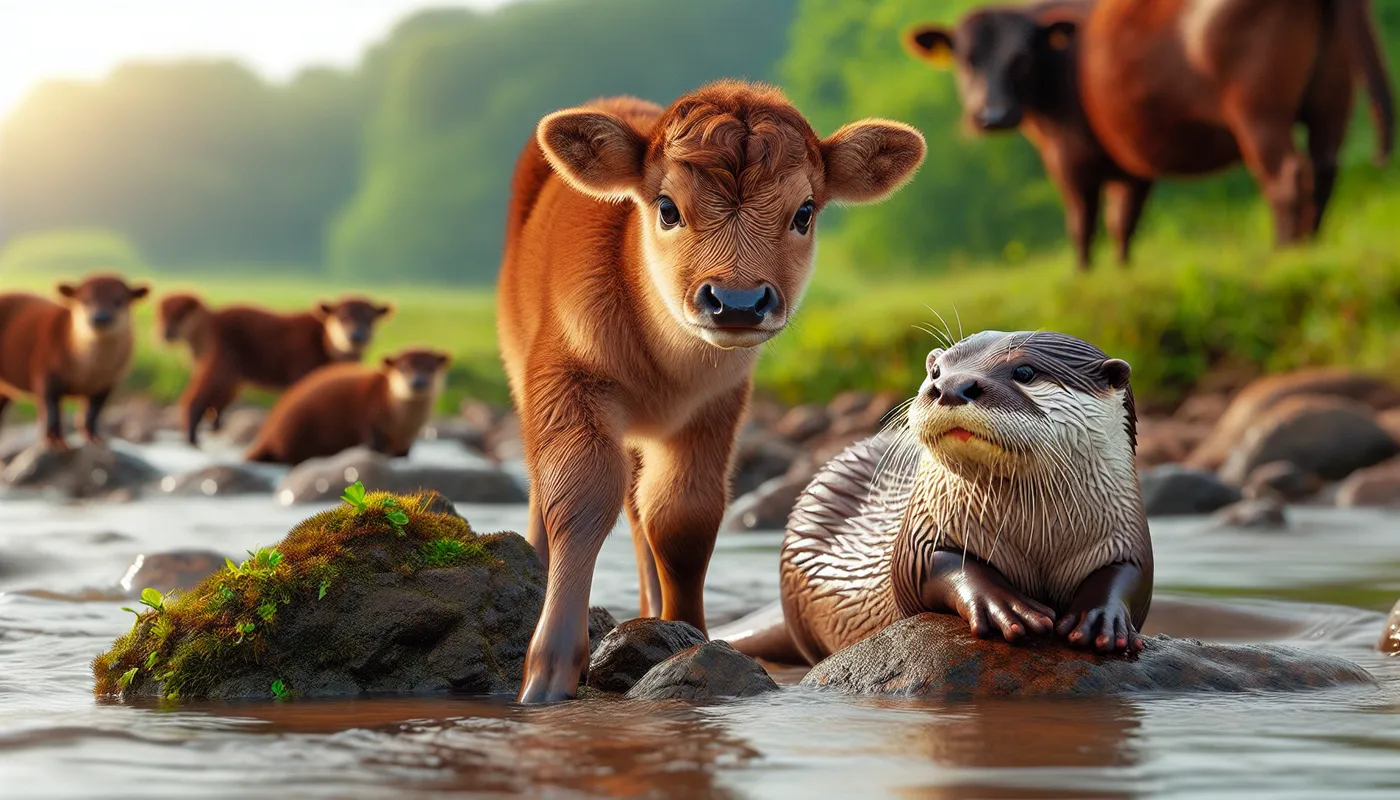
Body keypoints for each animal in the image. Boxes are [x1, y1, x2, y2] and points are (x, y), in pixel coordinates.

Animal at [727, 330, 1152, 665]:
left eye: (1025, 372)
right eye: (936, 371)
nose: (949, 386)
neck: (1038, 534)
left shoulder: (1126, 530)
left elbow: (1130, 574)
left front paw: (1099, 619)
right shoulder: (923, 524)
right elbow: (928, 563)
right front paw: (1003, 605)